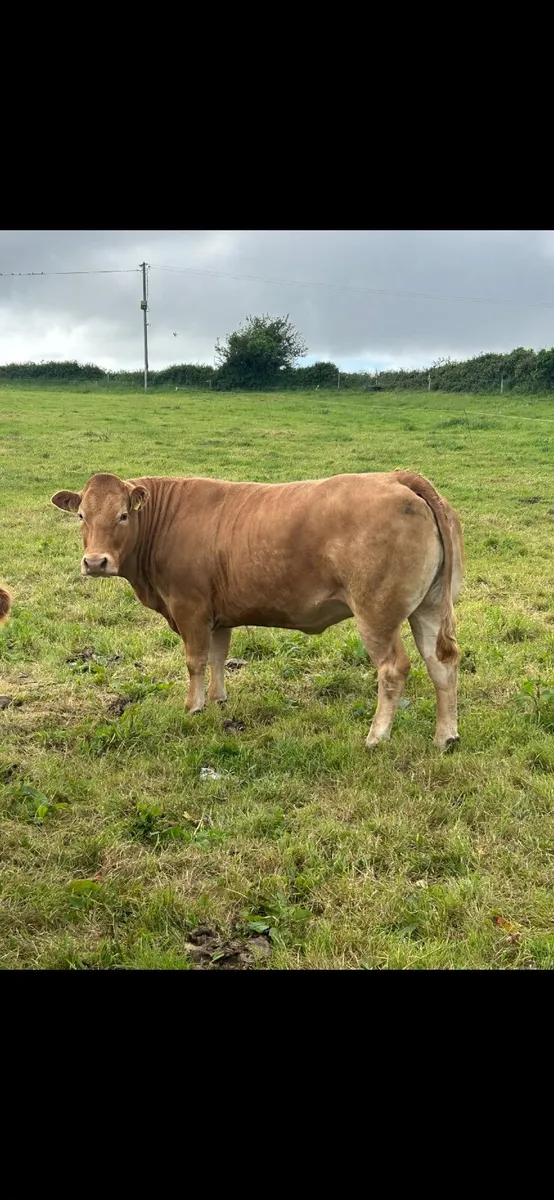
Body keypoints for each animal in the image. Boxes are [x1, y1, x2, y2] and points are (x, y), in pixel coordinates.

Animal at [51, 469, 464, 751]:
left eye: (122, 515)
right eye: (81, 516)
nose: (95, 562)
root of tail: (397, 477)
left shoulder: (189, 607)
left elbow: (195, 661)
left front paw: (193, 707)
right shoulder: (218, 614)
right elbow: (218, 657)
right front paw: (218, 700)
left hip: (376, 613)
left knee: (393, 669)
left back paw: (377, 736)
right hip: (429, 607)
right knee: (441, 662)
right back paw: (446, 736)